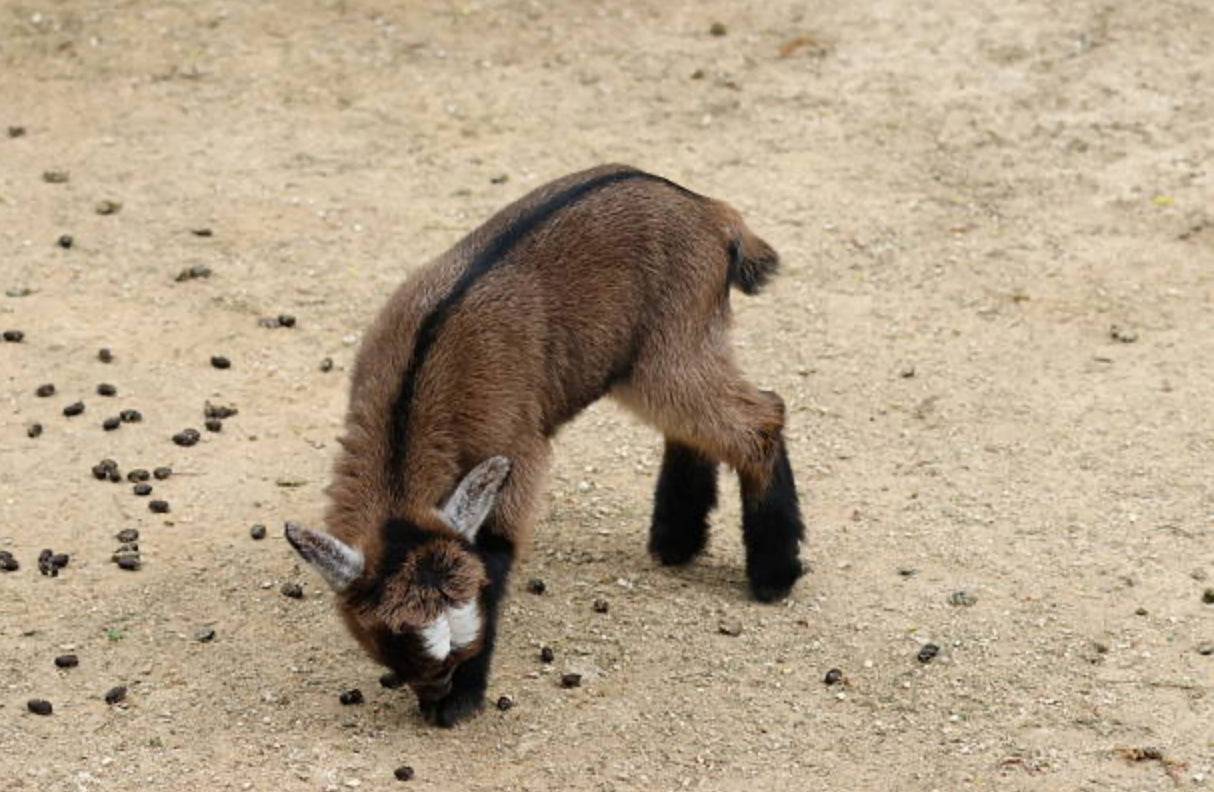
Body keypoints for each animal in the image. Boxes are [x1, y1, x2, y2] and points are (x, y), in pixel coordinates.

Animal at [286, 164, 806, 727]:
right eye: (395, 641)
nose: (438, 692)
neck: (414, 392)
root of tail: (711, 212)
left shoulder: (516, 451)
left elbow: (496, 547)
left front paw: (463, 701)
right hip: (653, 359)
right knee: (695, 426)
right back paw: (677, 542)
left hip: (670, 350)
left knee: (763, 416)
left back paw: (774, 575)